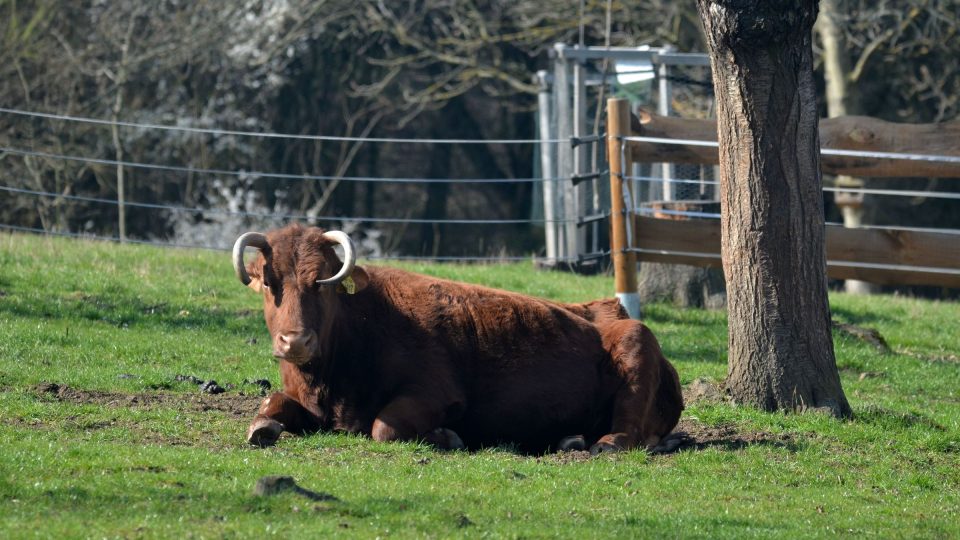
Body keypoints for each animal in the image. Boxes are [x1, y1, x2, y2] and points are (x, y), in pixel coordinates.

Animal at [232, 226, 684, 454]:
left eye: (321, 282)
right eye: (269, 282)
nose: (296, 341)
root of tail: (611, 311)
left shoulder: (435, 393)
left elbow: (384, 426)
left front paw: (446, 437)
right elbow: (271, 403)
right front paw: (262, 427)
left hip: (636, 344)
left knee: (626, 434)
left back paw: (601, 443)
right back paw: (569, 438)